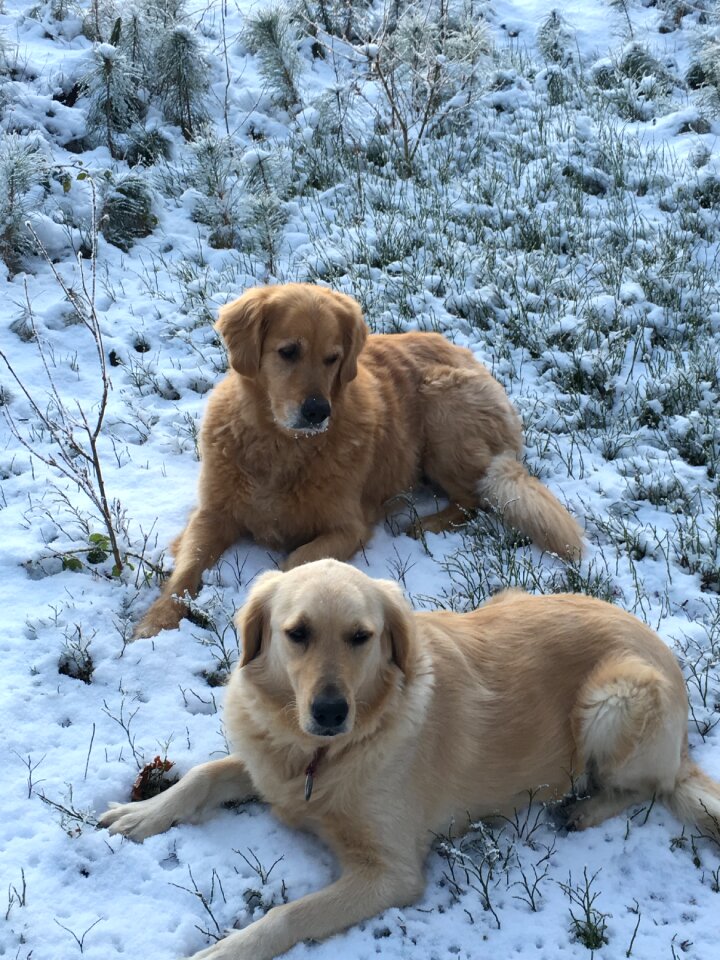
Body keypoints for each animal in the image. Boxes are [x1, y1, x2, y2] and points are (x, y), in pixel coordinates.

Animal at [101, 560, 720, 956]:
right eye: (296, 633)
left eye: (361, 636)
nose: (330, 711)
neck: (323, 756)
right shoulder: (269, 766)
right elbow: (204, 775)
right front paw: (142, 814)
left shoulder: (392, 873)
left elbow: (288, 913)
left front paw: (229, 948)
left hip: (616, 694)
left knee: (651, 785)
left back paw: (585, 809)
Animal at [134, 284, 584, 636]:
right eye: (288, 352)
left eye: (333, 357)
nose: (318, 411)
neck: (281, 444)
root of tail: (474, 361)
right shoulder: (213, 513)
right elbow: (186, 572)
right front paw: (156, 621)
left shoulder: (348, 527)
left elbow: (294, 562)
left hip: (443, 414)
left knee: (475, 500)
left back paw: (423, 525)